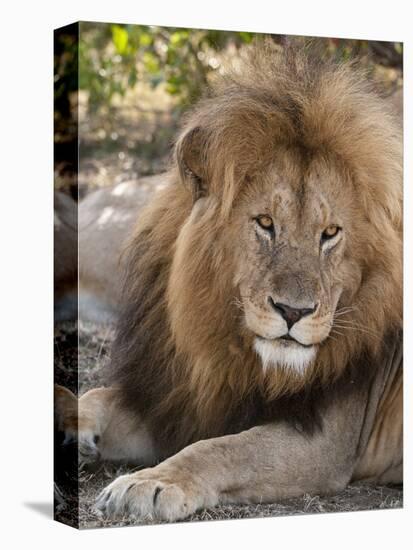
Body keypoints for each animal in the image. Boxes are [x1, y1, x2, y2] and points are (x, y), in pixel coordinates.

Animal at [54, 42, 400, 520]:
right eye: (265, 223)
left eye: (330, 233)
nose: (293, 311)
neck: (234, 350)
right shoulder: (187, 401)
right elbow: (101, 395)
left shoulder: (327, 442)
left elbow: (220, 450)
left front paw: (151, 483)